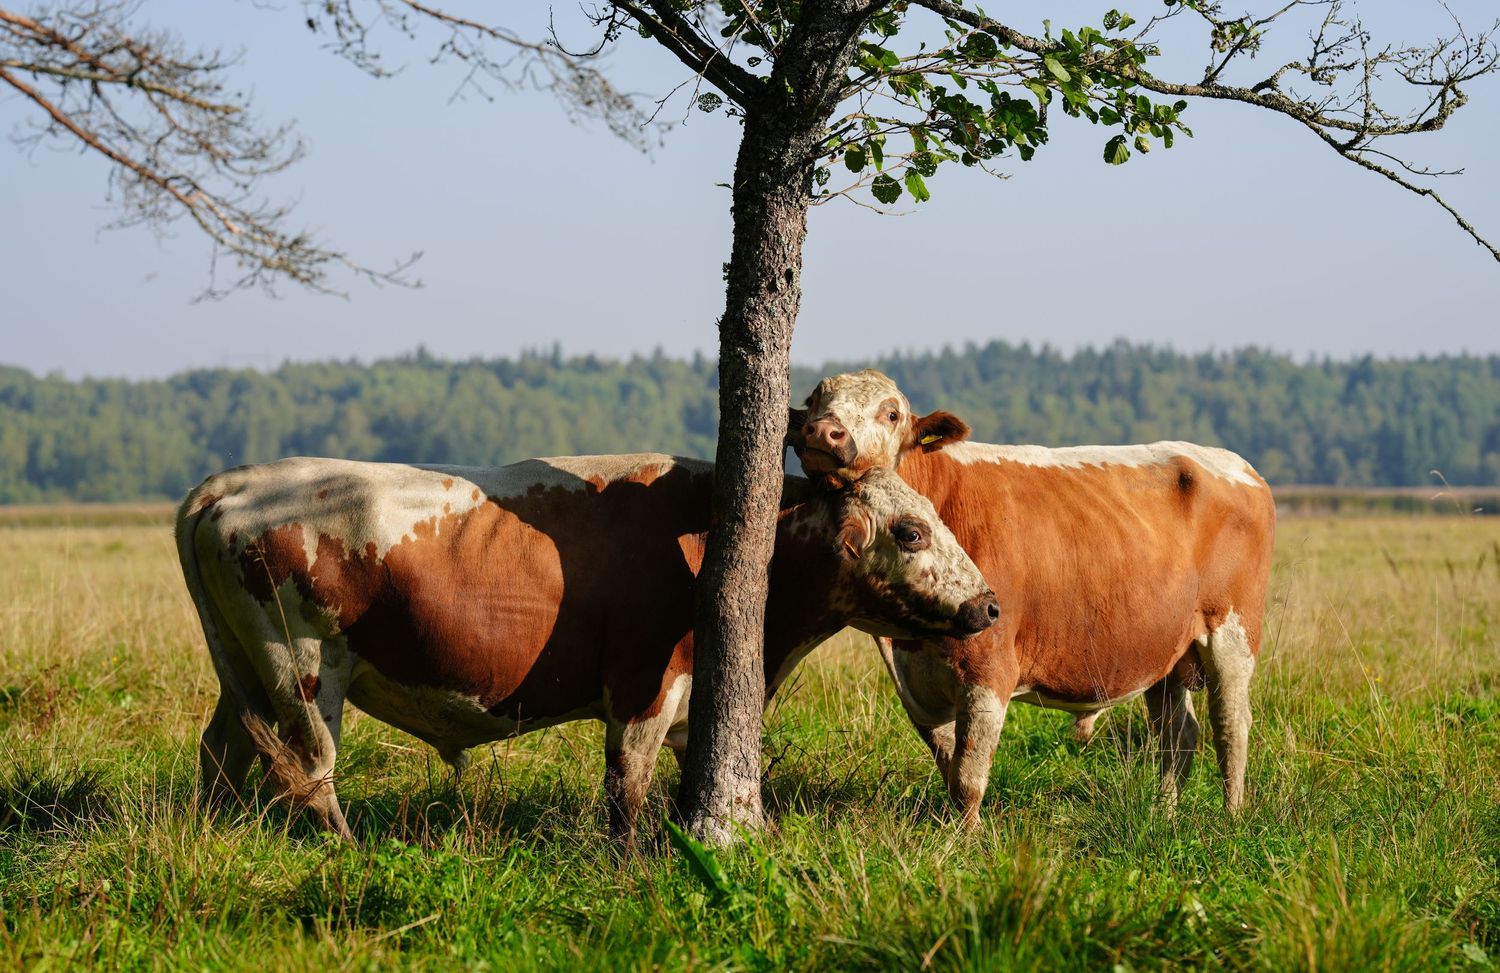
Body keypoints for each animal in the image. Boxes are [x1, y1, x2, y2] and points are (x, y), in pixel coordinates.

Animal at [176, 453, 999, 843]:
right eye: (911, 531)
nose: (988, 605)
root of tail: (232, 483)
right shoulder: (642, 683)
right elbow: (625, 788)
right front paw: (628, 864)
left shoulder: (690, 699)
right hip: (304, 666)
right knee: (311, 772)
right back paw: (346, 849)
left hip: (245, 667)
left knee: (224, 749)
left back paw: (219, 828)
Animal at [788, 370, 1276, 825]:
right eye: (813, 401)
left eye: (890, 414)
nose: (824, 431)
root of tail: (1237, 465)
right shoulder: (917, 686)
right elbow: (949, 764)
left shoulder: (989, 666)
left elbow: (968, 776)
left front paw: (964, 843)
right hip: (1165, 648)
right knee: (1177, 734)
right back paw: (1164, 814)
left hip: (1232, 632)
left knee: (1231, 725)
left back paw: (1232, 817)